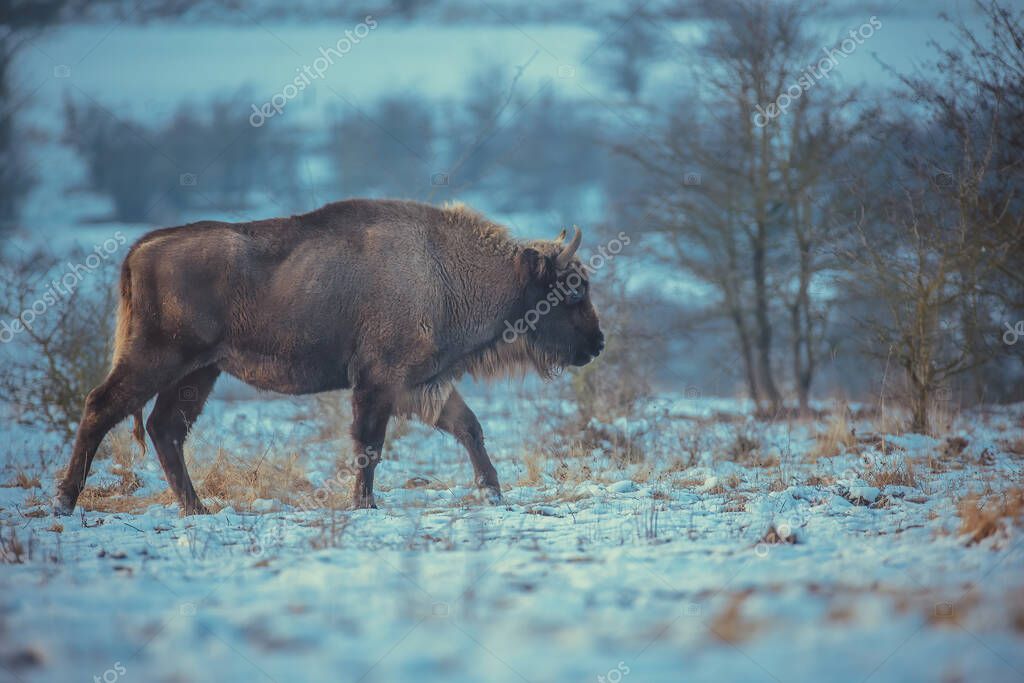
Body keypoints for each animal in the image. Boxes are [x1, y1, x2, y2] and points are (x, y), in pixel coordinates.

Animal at [54, 200, 598, 516]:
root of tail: (141, 248)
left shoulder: (420, 385)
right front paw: (365, 503)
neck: (443, 268)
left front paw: (494, 493)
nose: (597, 344)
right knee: (102, 407)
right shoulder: (378, 383)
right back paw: (64, 502)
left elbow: (470, 428)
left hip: (199, 372)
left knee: (166, 429)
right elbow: (369, 445)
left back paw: (197, 510)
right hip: (157, 360)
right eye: (571, 292)